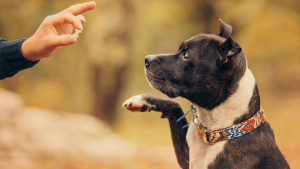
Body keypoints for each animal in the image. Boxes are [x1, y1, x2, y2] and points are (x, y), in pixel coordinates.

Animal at [121, 20, 288, 169]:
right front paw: (141, 100)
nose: (147, 59)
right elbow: (175, 106)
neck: (215, 131)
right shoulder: (185, 157)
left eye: (186, 55)